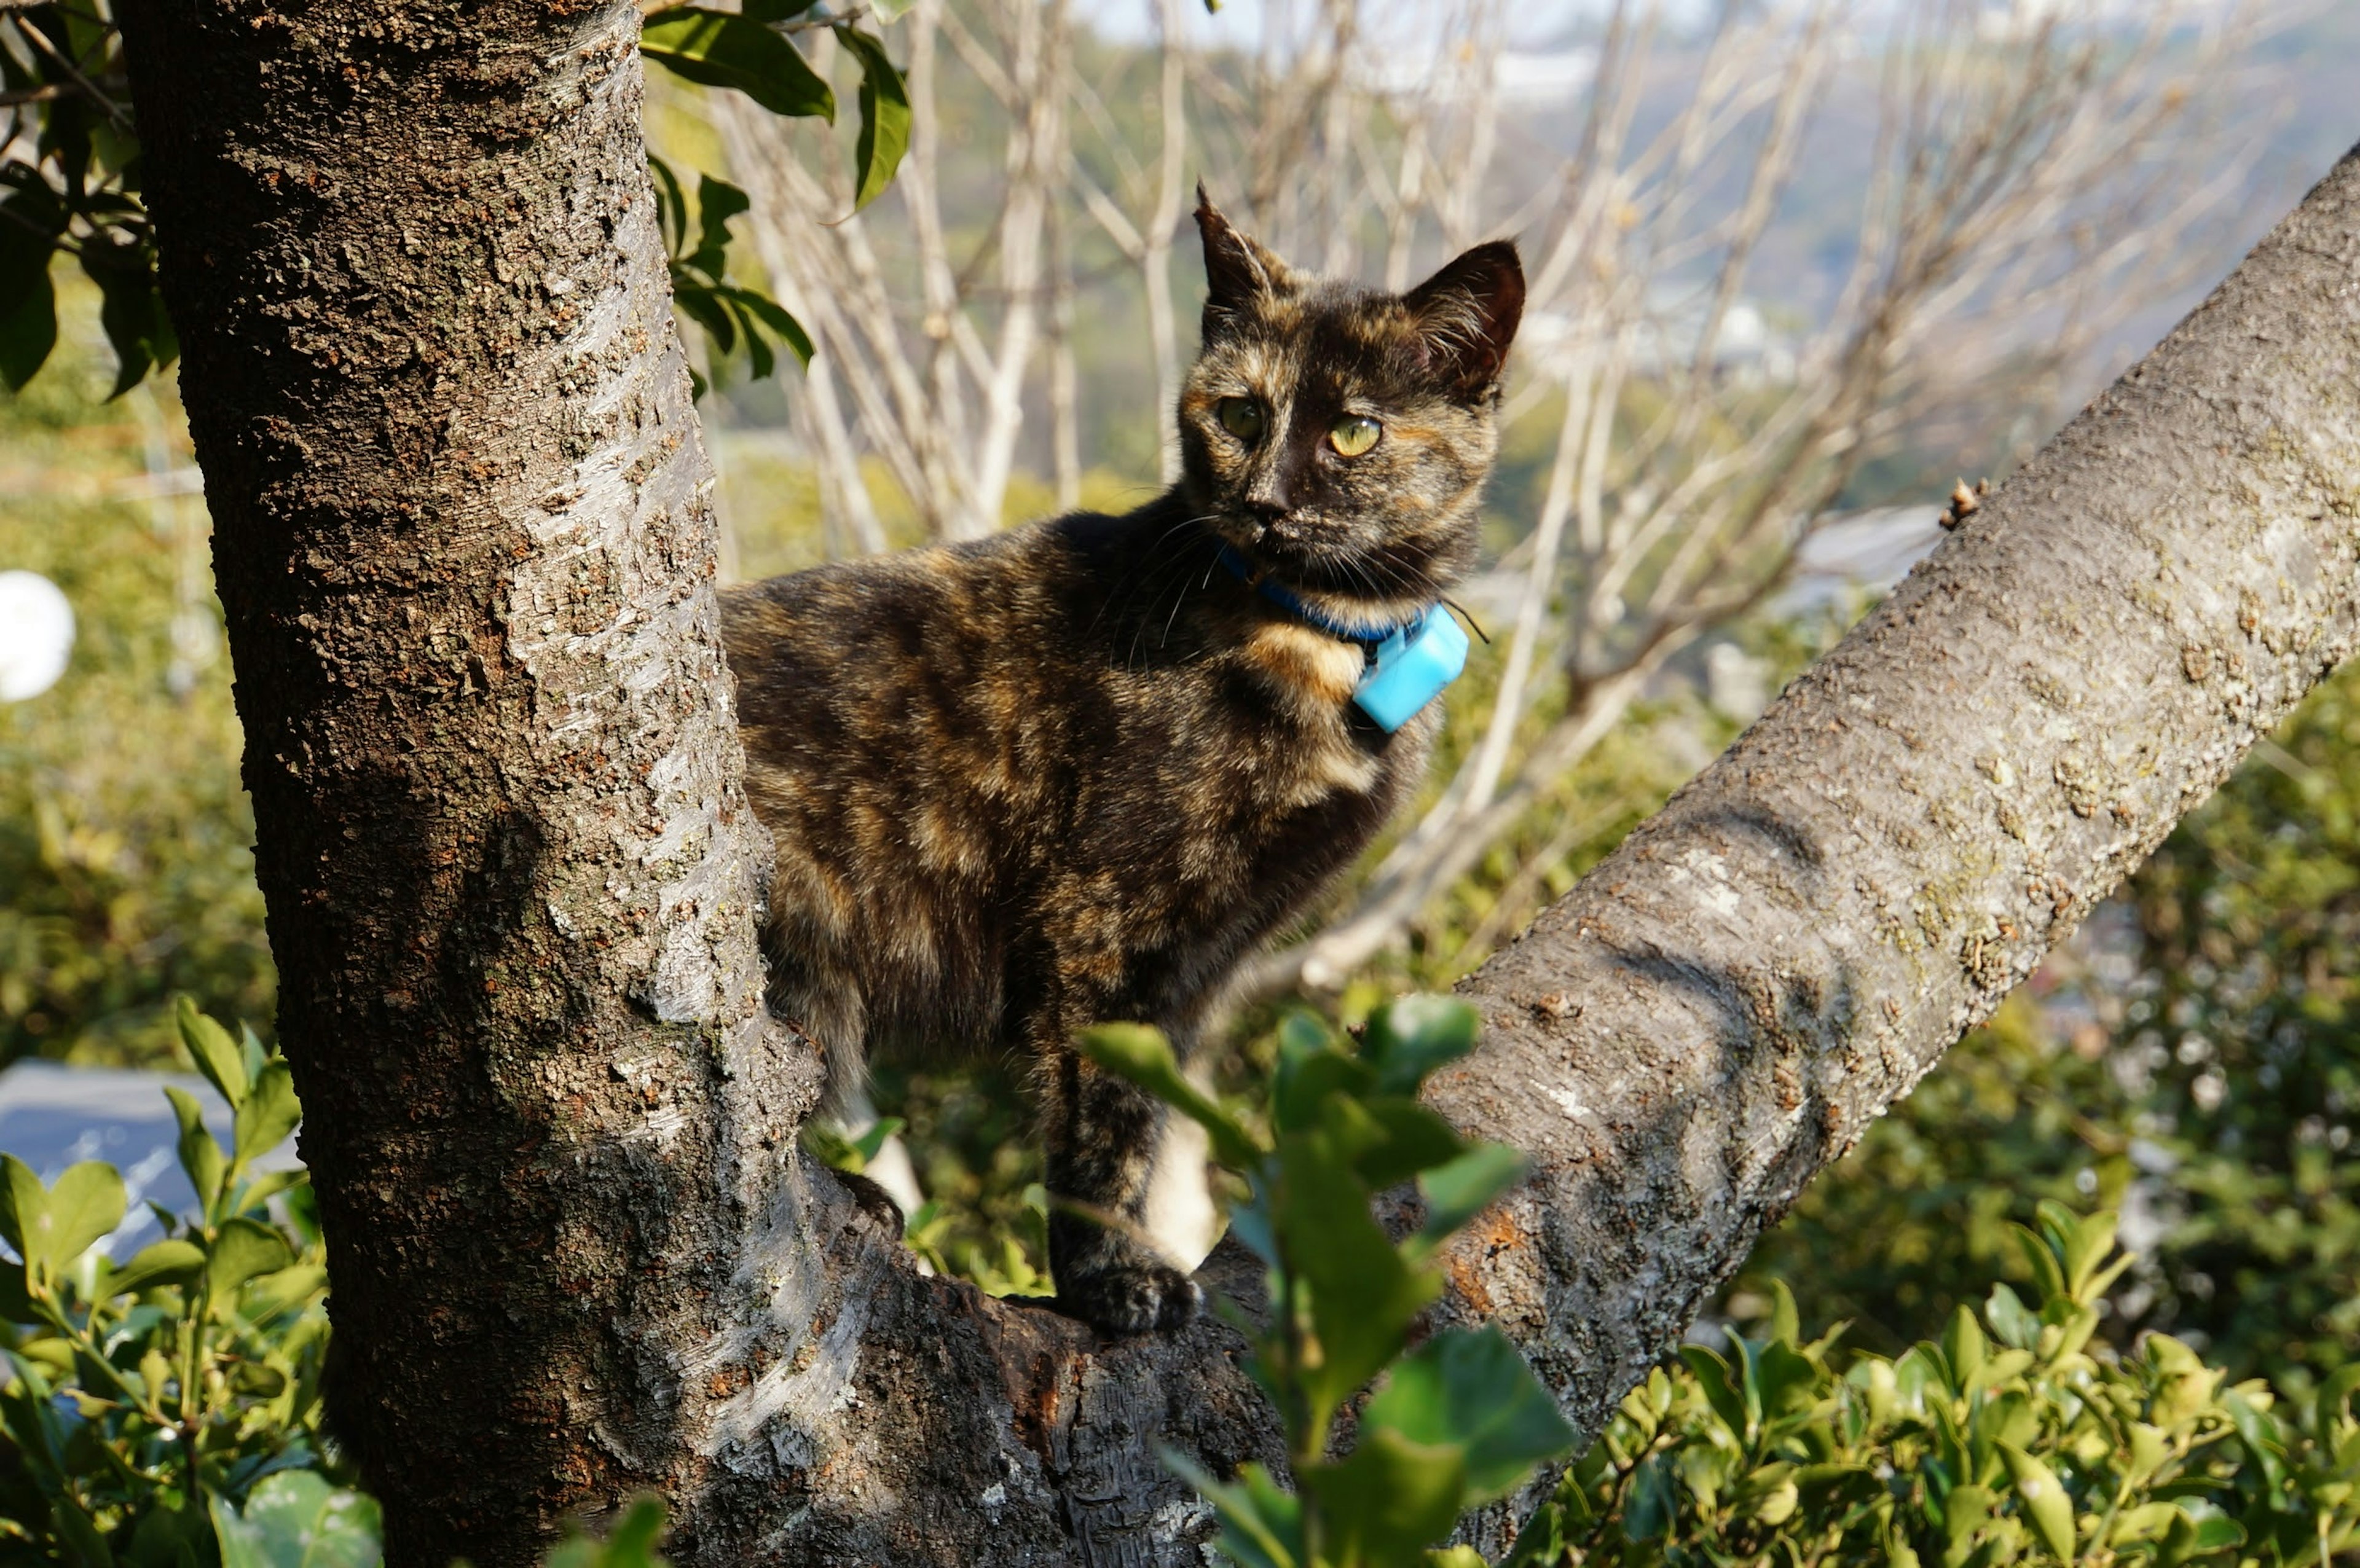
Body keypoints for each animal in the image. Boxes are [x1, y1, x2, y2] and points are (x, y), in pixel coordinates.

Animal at [726, 189, 1519, 1330]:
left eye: (1356, 430)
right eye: (1241, 415)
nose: (1267, 502)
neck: (1330, 639)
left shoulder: (1200, 965)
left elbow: (1154, 1116)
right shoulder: (1103, 917)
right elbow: (1104, 1118)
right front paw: (1111, 1276)